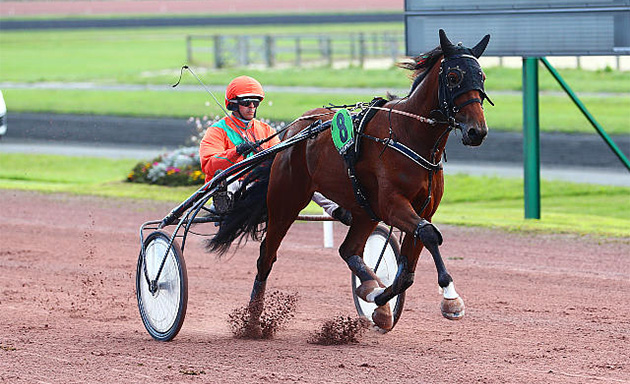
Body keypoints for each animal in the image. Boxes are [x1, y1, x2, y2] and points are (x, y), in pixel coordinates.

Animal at [211, 30, 494, 332]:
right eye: (453, 77)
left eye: (482, 76)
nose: (477, 131)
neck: (409, 135)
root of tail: (292, 131)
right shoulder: (393, 205)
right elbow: (429, 235)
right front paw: (451, 298)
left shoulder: (422, 209)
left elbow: (407, 272)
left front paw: (379, 302)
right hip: (285, 201)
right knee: (266, 255)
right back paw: (253, 319)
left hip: (363, 209)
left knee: (349, 250)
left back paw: (369, 287)